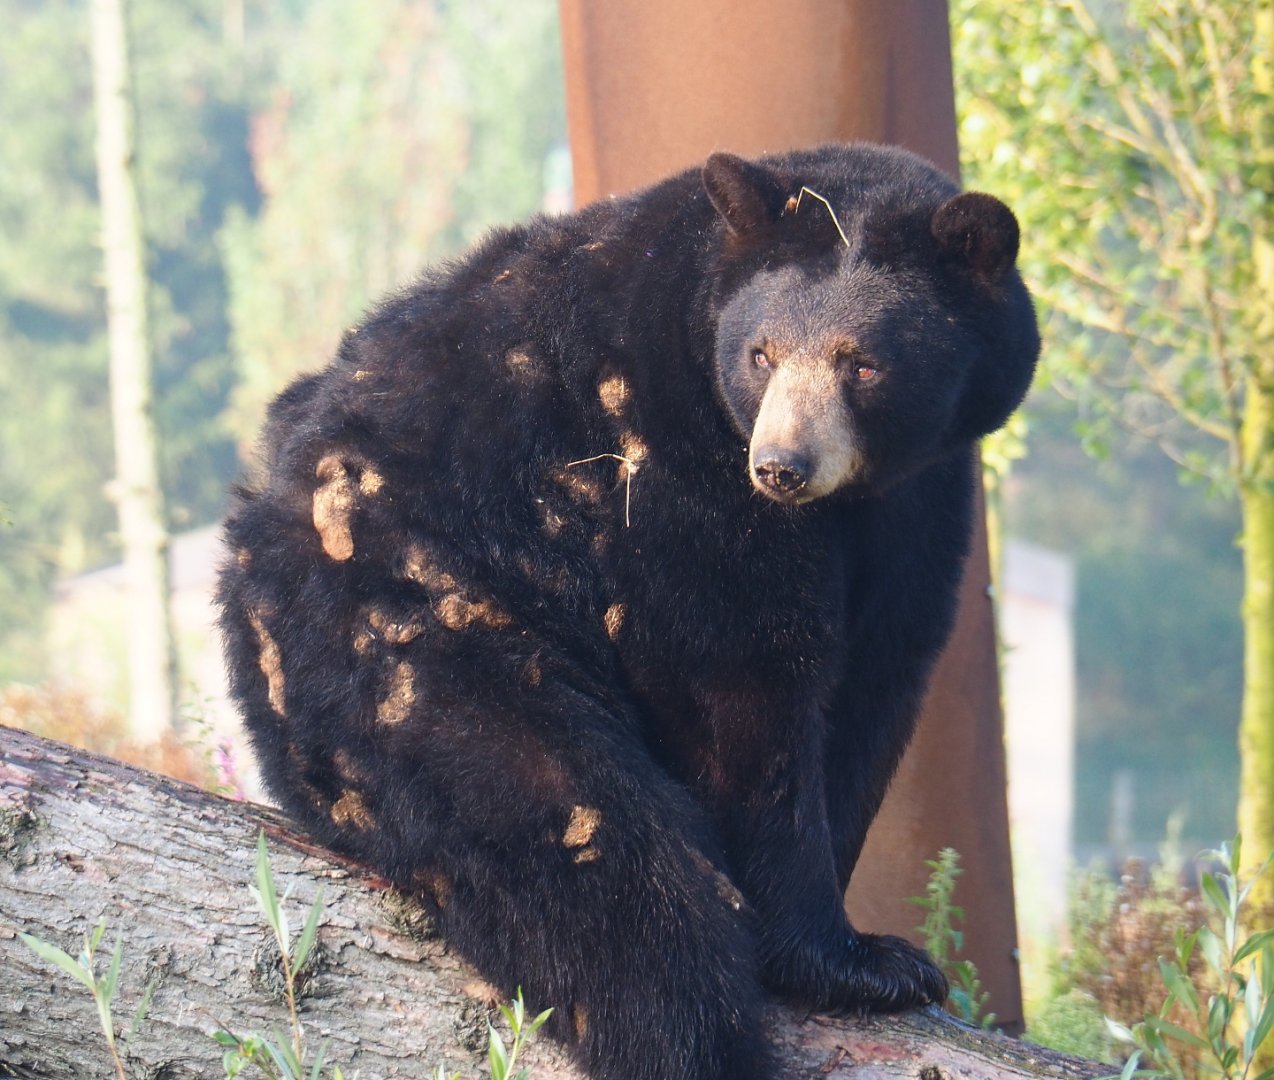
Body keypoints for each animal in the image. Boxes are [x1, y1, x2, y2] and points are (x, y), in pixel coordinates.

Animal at [217, 143, 1038, 1080]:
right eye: (761, 354)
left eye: (860, 362)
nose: (782, 466)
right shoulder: (665, 451)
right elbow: (737, 673)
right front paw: (851, 960)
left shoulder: (922, 499)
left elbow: (878, 681)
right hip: (403, 632)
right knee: (603, 865)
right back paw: (701, 1040)